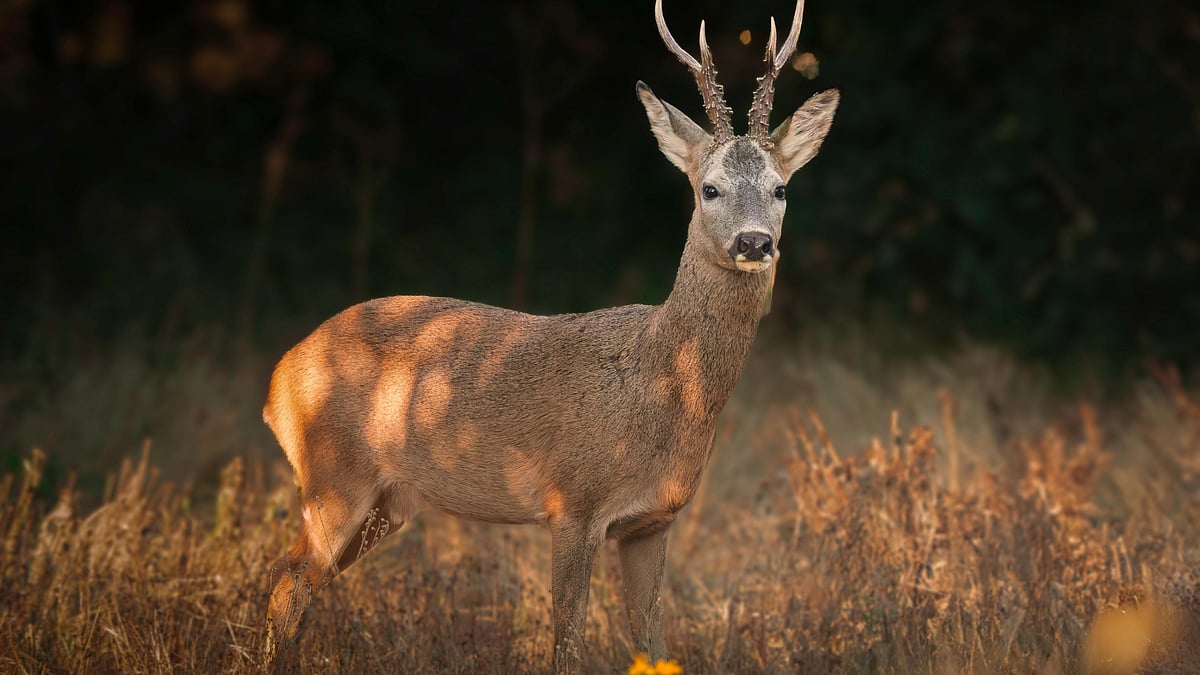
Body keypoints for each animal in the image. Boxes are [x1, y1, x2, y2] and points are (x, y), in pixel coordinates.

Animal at [262, 0, 837, 671]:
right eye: (709, 188)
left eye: (780, 188)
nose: (754, 242)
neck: (664, 385)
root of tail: (278, 378)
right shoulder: (572, 503)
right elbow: (567, 643)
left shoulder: (653, 522)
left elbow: (654, 642)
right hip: (334, 476)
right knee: (287, 584)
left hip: (384, 503)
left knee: (297, 585)